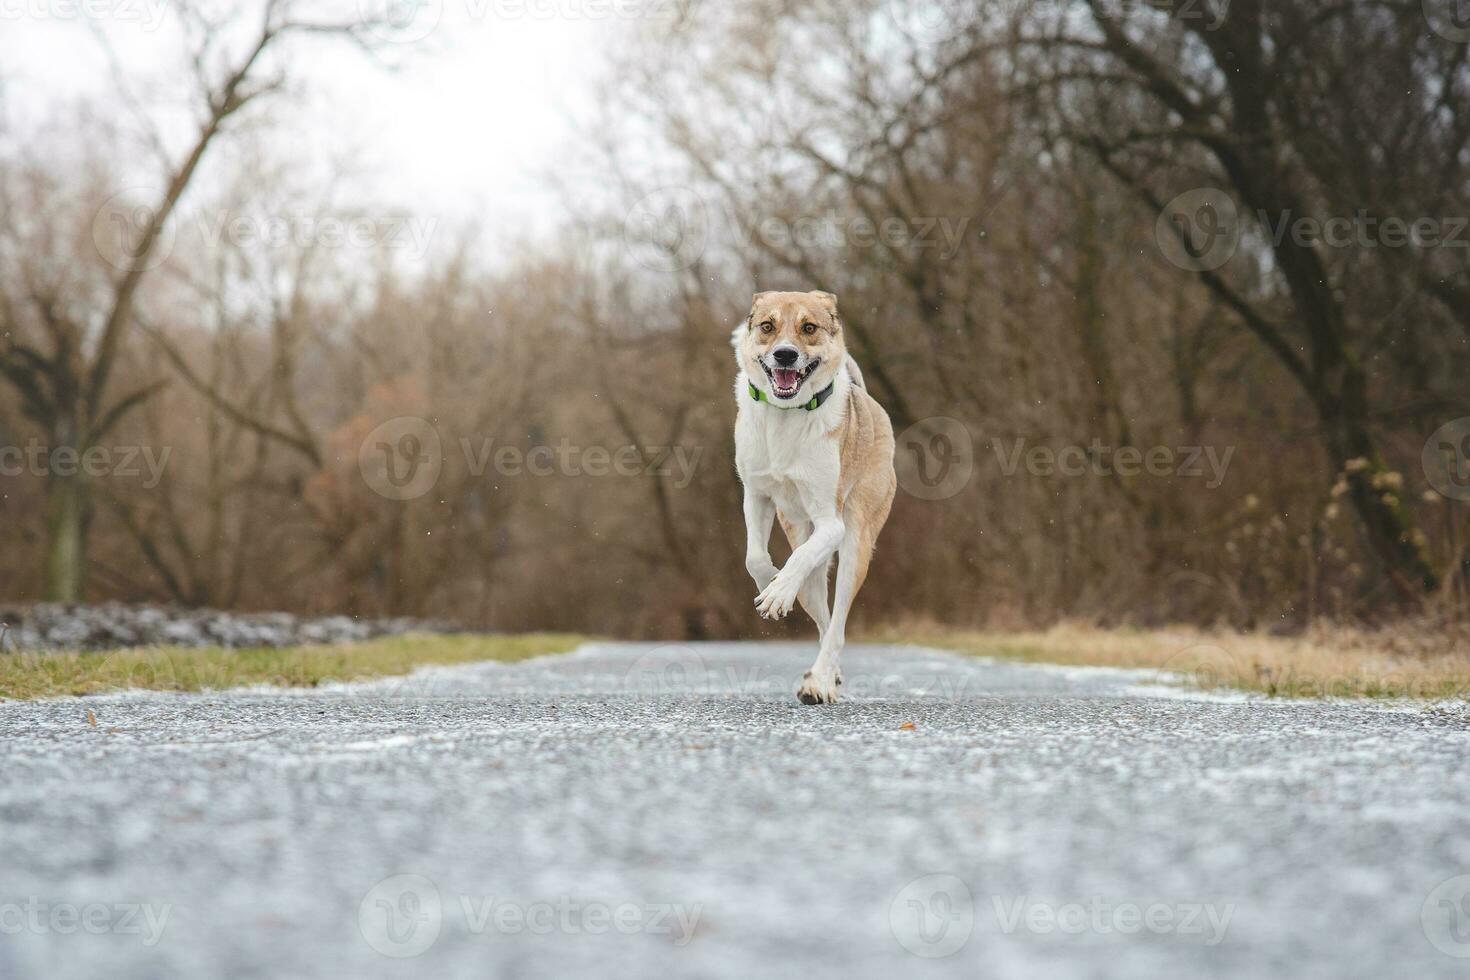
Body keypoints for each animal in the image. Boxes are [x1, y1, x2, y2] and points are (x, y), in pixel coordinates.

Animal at [732, 287, 893, 702]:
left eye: (808, 328)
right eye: (768, 326)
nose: (785, 355)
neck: (785, 414)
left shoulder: (830, 523)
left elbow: (801, 558)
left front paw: (776, 593)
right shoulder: (756, 495)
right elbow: (754, 557)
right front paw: (770, 584)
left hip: (857, 541)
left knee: (836, 623)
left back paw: (819, 682)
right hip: (804, 549)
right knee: (820, 615)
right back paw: (826, 675)